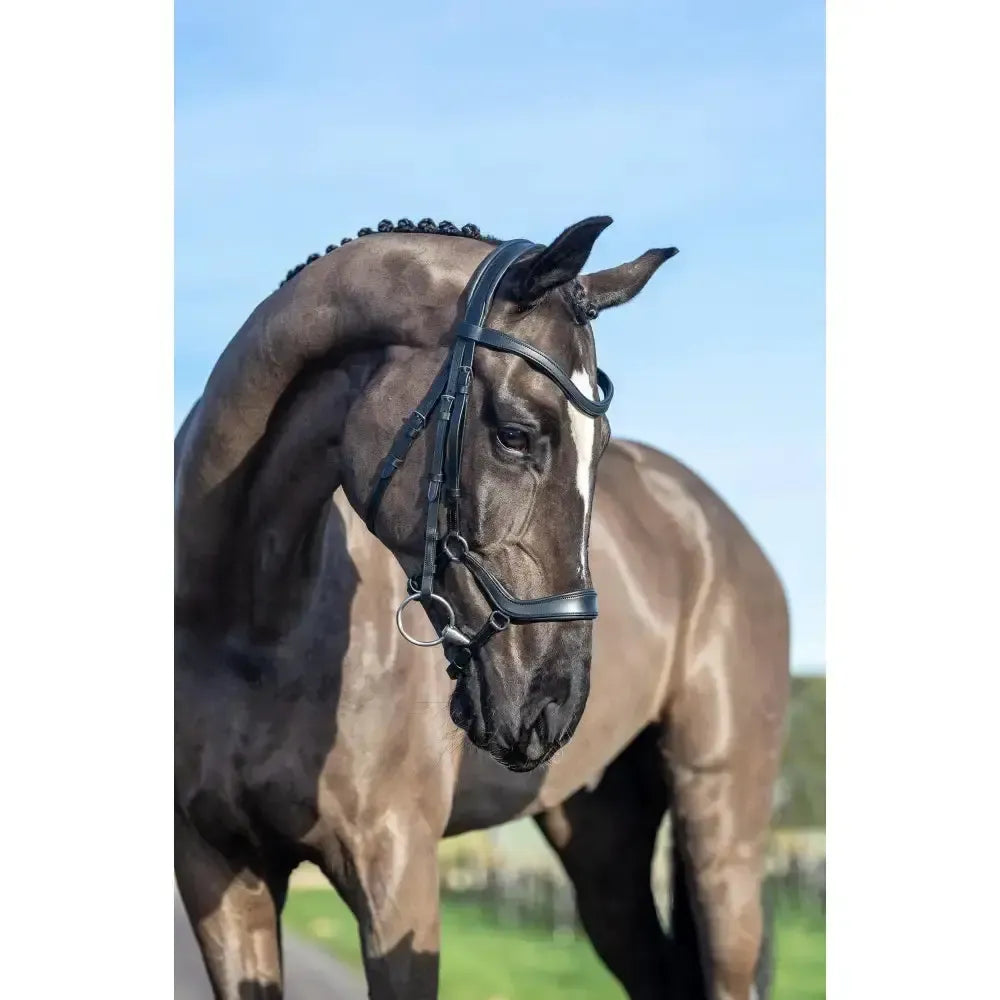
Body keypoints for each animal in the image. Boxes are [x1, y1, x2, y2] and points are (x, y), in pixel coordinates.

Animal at [174, 216, 790, 1000]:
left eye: (603, 446)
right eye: (516, 433)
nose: (555, 704)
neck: (254, 625)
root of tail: (719, 525)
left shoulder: (396, 871)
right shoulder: (217, 873)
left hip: (723, 827)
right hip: (604, 847)